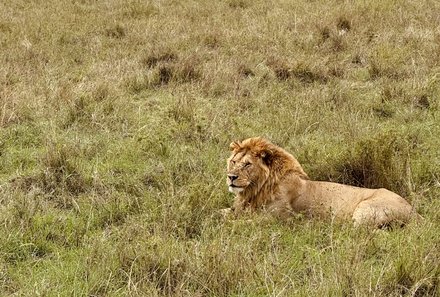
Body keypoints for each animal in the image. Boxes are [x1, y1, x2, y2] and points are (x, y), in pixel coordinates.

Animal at [225, 137, 418, 227]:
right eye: (233, 162)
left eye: (248, 164)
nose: (231, 177)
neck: (255, 189)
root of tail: (414, 211)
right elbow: (222, 213)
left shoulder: (276, 219)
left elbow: (239, 224)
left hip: (364, 210)